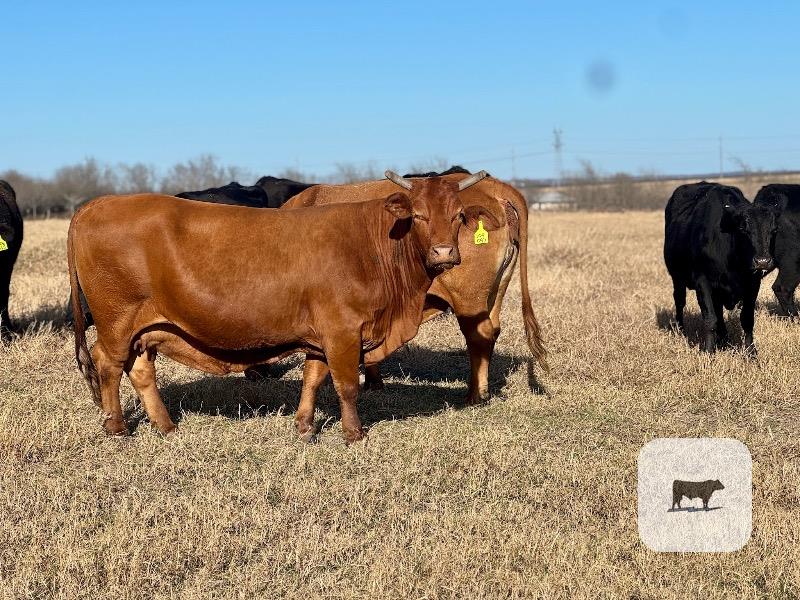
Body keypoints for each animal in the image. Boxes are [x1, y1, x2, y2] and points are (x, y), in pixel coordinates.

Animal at [68, 172, 491, 443]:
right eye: (418, 215)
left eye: (458, 216)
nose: (444, 253)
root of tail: (98, 204)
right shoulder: (342, 330)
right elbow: (346, 385)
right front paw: (354, 433)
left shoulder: (321, 334)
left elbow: (314, 377)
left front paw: (305, 426)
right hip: (117, 320)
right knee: (108, 364)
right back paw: (117, 427)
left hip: (146, 328)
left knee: (140, 371)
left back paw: (166, 426)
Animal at [283, 168, 548, 404]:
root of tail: (491, 186)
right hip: (496, 290)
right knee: (493, 330)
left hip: (468, 298)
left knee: (479, 335)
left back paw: (475, 395)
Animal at [664, 182, 778, 355]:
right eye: (743, 229)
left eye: (774, 230)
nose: (762, 261)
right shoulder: (702, 281)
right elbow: (710, 318)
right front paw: (708, 352)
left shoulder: (753, 283)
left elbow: (747, 319)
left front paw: (751, 352)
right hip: (677, 278)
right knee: (679, 301)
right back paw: (681, 330)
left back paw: (724, 340)